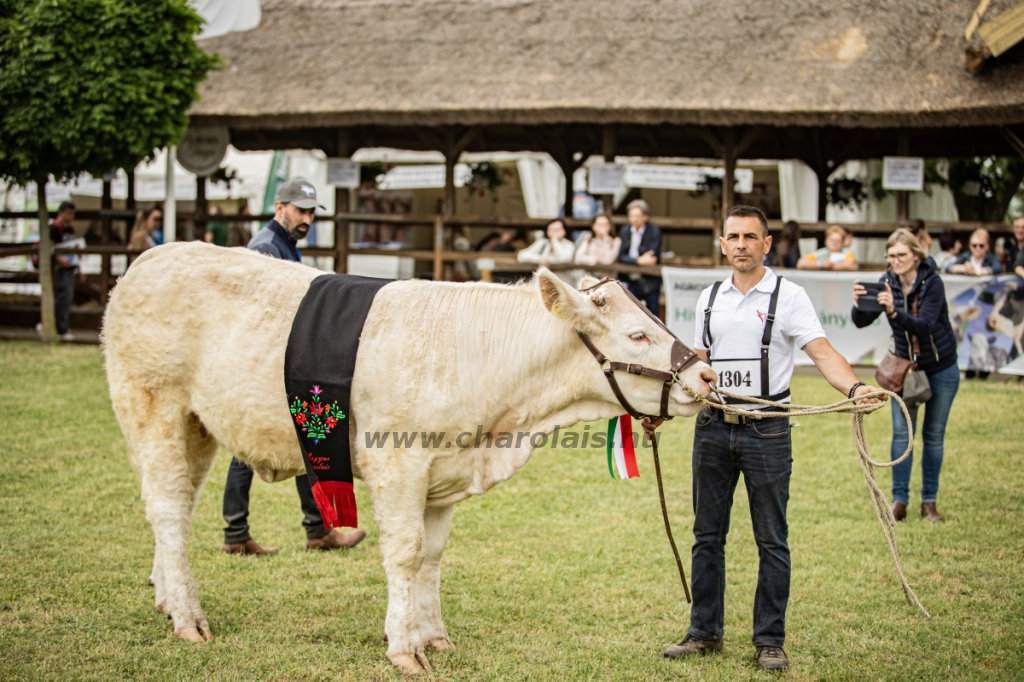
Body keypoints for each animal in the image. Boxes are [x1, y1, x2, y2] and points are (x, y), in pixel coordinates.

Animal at [103, 241, 712, 671]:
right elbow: (405, 552)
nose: (706, 374)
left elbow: (433, 555)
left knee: (175, 509)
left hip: (198, 427)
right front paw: (404, 647)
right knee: (167, 508)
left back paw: (167, 597)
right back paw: (188, 618)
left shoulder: (443, 474)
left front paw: (433, 635)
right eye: (637, 335)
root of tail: (152, 257)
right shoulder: (398, 462)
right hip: (155, 405)